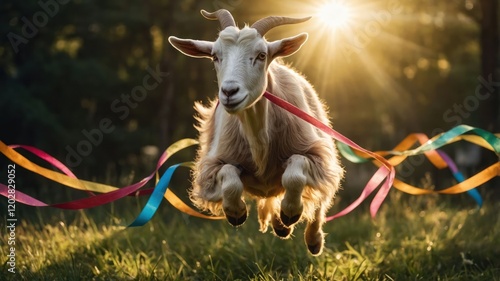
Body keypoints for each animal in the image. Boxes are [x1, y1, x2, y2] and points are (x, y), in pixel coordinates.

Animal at [168, 9, 344, 254]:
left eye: (261, 55)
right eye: (214, 56)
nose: (229, 91)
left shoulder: (314, 153)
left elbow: (295, 173)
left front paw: (291, 212)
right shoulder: (213, 166)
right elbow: (230, 178)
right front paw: (236, 213)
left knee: (320, 199)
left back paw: (312, 239)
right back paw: (281, 227)